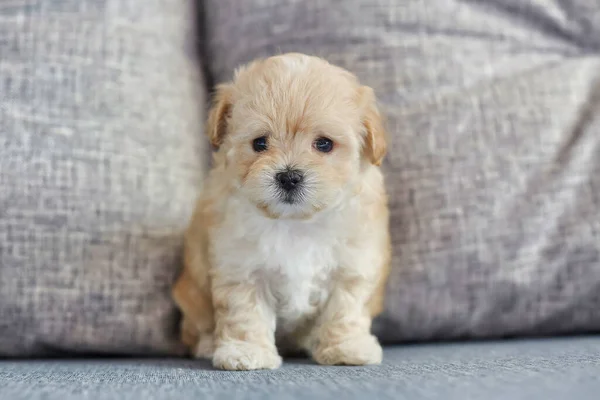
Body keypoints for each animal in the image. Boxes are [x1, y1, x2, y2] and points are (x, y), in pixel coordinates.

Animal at [171, 53, 392, 372]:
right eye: (260, 143)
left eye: (324, 144)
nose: (289, 177)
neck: (295, 222)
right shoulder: (240, 267)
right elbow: (245, 312)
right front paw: (246, 351)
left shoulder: (352, 266)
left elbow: (345, 310)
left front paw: (345, 347)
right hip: (192, 296)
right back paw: (209, 344)